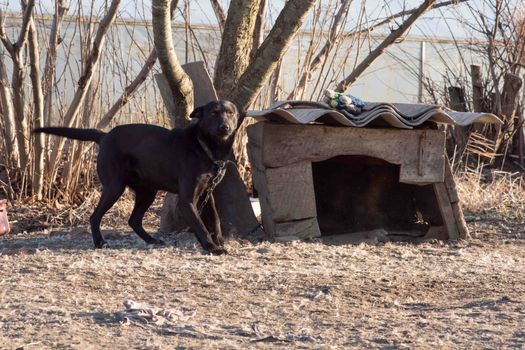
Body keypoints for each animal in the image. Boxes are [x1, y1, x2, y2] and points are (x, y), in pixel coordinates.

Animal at [35, 100, 241, 254]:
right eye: (213, 113)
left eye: (231, 113)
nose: (225, 127)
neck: (205, 148)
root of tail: (105, 136)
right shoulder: (187, 199)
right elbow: (201, 226)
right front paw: (212, 248)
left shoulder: (207, 194)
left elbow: (215, 221)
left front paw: (219, 242)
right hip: (115, 187)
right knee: (95, 217)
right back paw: (100, 242)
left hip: (147, 191)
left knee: (133, 220)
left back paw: (151, 240)